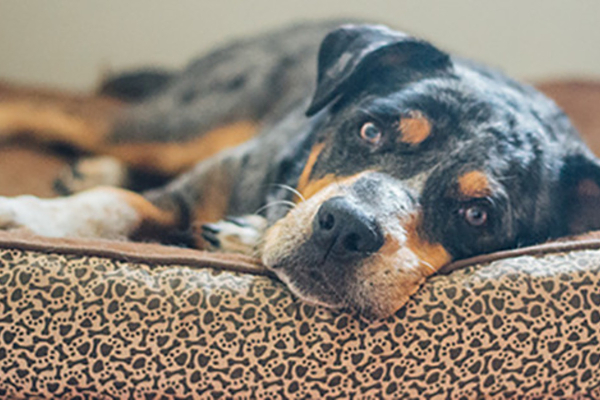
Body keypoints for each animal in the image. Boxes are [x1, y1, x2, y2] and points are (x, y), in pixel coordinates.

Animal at [1, 21, 600, 318]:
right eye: (370, 130)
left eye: (477, 214)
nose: (347, 228)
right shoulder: (209, 177)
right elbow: (120, 205)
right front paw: (32, 215)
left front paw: (240, 235)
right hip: (184, 121)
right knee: (60, 111)